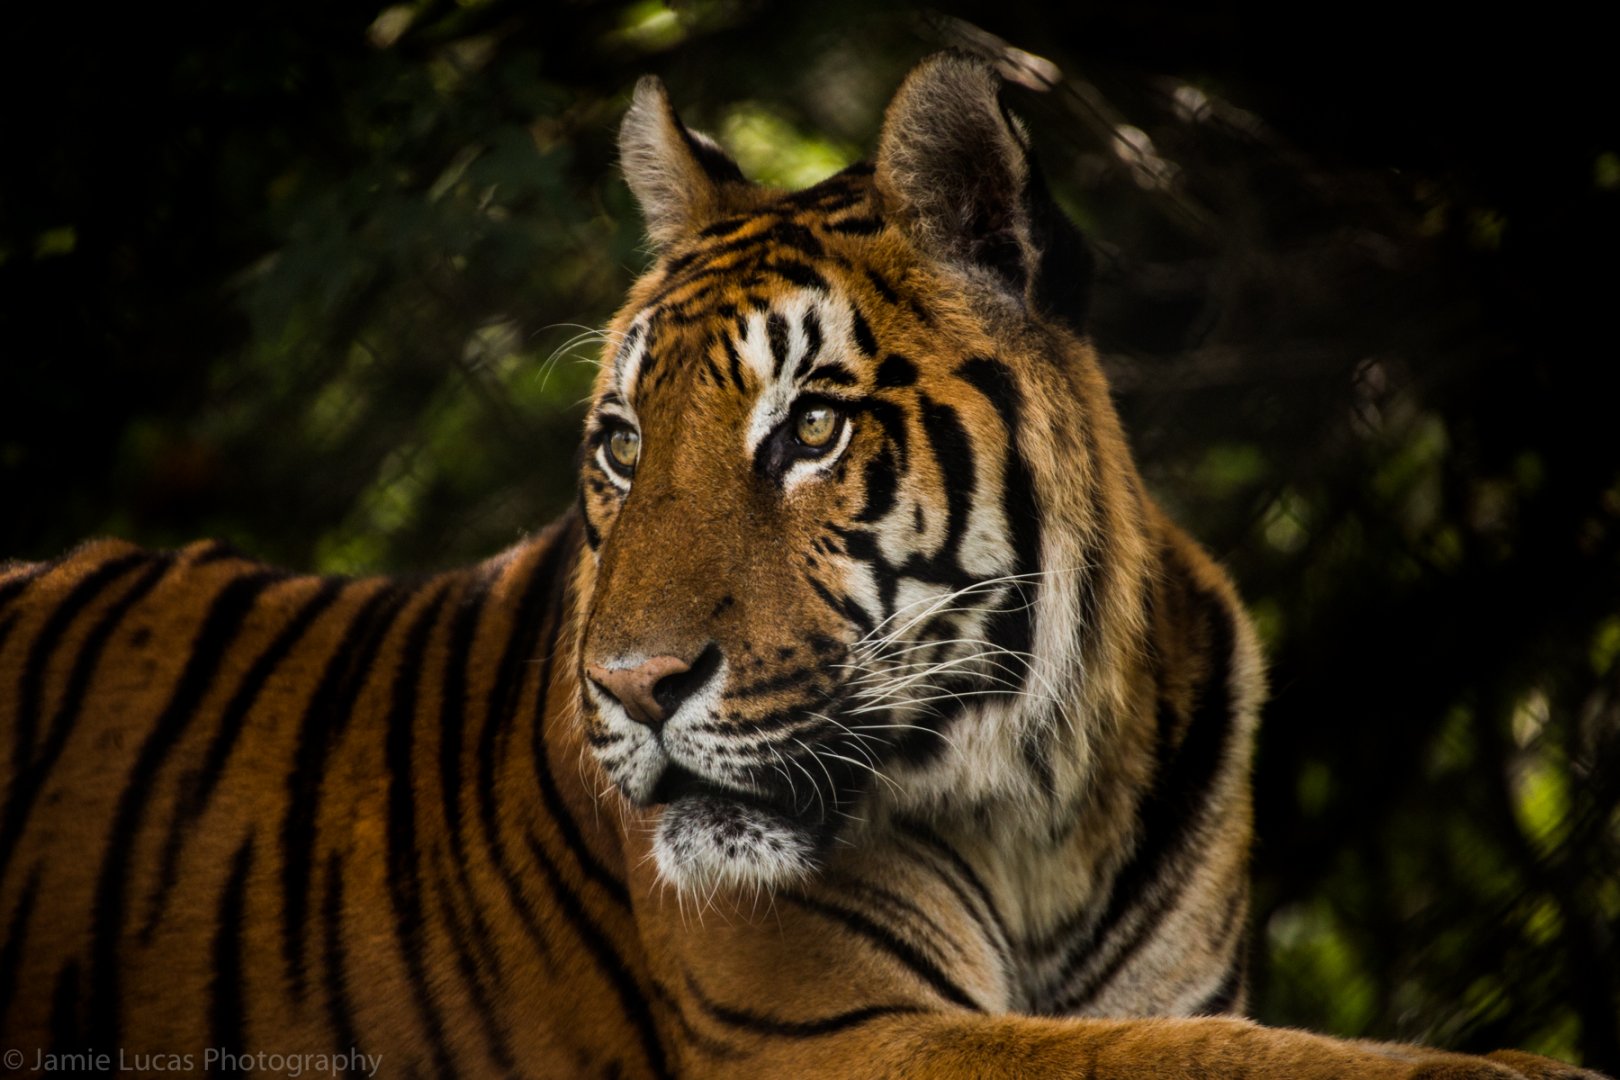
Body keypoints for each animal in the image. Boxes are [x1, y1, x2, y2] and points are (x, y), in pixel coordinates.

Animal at [0, 52, 1602, 1080]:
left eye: (810, 428)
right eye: (623, 445)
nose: (634, 688)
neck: (1048, 806)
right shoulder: (835, 1035)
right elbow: (1235, 1062)